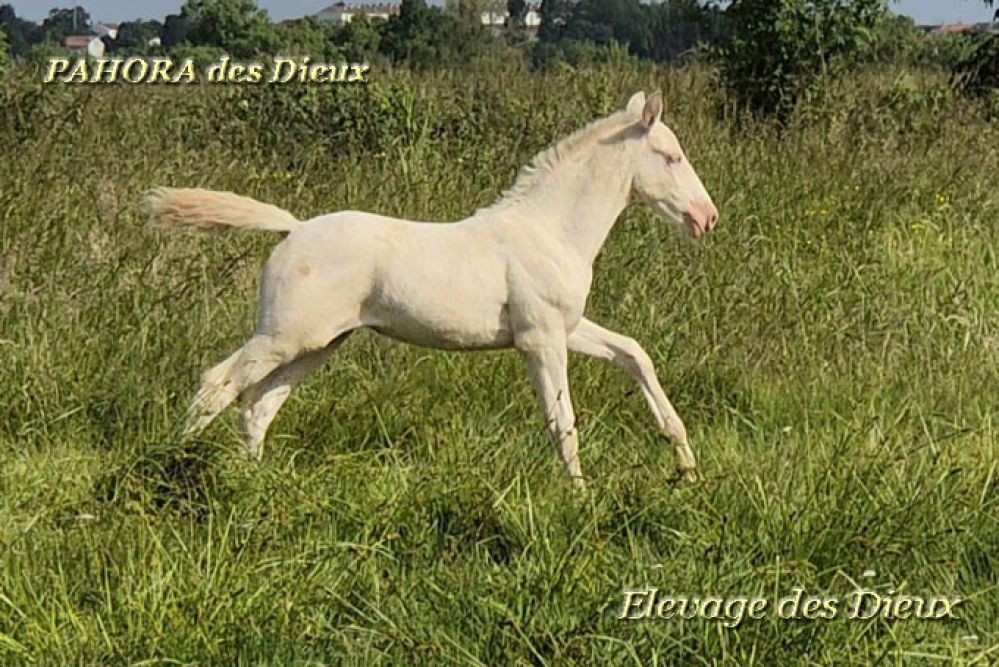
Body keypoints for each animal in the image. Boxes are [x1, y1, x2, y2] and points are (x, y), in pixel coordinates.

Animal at [146, 90, 719, 489]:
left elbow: (634, 354)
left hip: (317, 346)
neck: (550, 230)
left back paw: (254, 484)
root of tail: (294, 228)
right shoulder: (540, 339)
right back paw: (168, 464)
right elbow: (563, 420)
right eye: (671, 157)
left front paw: (686, 464)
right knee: (218, 384)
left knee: (257, 407)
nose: (707, 218)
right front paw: (580, 496)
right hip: (283, 337)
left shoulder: (566, 328)